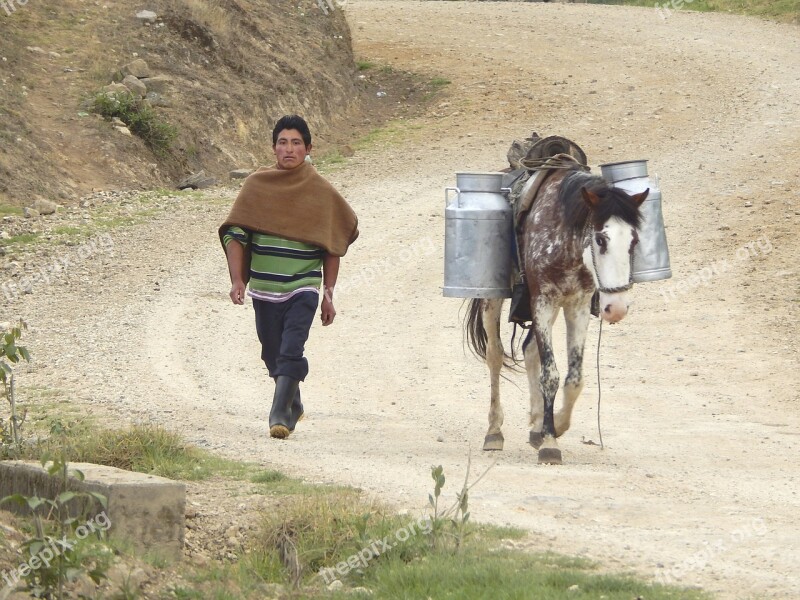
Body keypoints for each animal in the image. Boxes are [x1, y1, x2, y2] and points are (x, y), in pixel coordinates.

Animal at [466, 164, 648, 464]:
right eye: (600, 239)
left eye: (634, 241)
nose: (617, 307)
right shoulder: (543, 302)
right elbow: (550, 374)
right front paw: (550, 443)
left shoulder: (578, 306)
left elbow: (574, 379)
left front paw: (555, 426)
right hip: (493, 299)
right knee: (495, 355)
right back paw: (494, 432)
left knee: (529, 351)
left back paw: (537, 424)